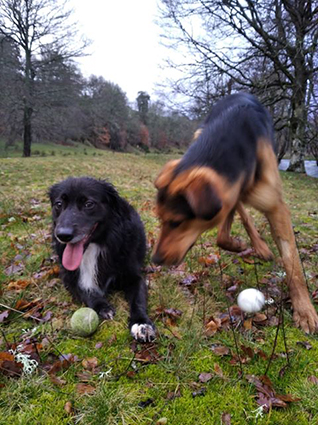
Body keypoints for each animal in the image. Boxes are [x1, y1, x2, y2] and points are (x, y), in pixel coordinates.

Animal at [48, 176, 155, 342]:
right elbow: (86, 291)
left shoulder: (134, 277)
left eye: (88, 204)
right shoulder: (69, 278)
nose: (63, 235)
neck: (94, 246)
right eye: (59, 204)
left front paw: (141, 323)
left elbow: (138, 299)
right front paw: (102, 306)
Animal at [153, 94, 316, 332]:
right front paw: (239, 245)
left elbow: (292, 262)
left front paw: (304, 310)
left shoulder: (275, 207)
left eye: (175, 222)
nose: (154, 260)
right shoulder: (231, 193)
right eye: (160, 219)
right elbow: (225, 233)